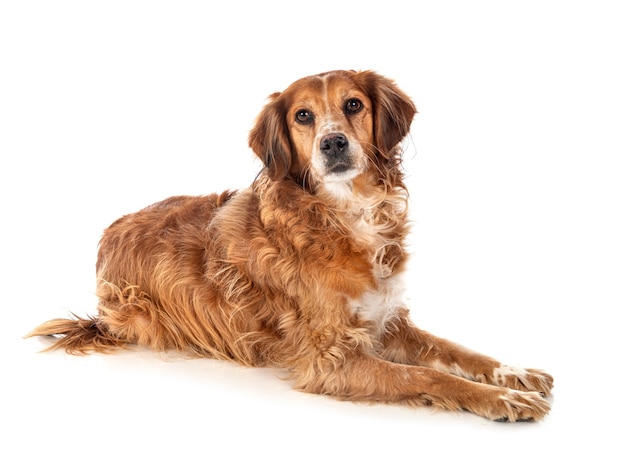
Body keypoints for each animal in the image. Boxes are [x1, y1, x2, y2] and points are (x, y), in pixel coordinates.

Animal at [28, 70, 552, 422]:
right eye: (303, 116)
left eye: (353, 105)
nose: (333, 143)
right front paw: (504, 400)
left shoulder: (388, 322)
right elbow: (429, 376)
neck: (345, 216)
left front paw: (515, 374)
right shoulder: (331, 359)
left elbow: (460, 353)